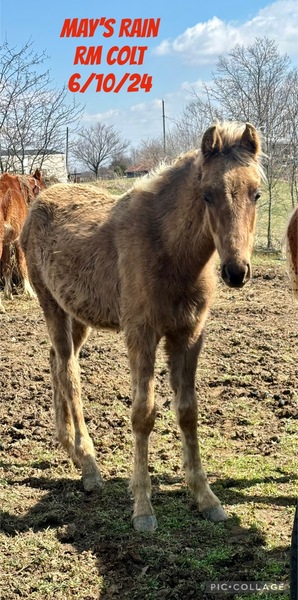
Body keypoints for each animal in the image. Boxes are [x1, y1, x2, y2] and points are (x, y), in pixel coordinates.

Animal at [0, 168, 44, 312]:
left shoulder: (6, 242)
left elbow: (7, 266)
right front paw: (29, 292)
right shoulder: (17, 239)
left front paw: (8, 294)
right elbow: (21, 264)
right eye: (42, 187)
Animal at [20, 120, 264, 528]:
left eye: (256, 194)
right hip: (50, 303)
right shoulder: (142, 335)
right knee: (68, 372)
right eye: (208, 195)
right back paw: (89, 466)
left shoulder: (188, 336)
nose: (235, 271)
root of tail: (40, 198)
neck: (169, 251)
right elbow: (142, 415)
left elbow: (188, 411)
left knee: (55, 362)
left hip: (78, 313)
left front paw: (206, 499)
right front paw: (143, 509)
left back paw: (68, 447)